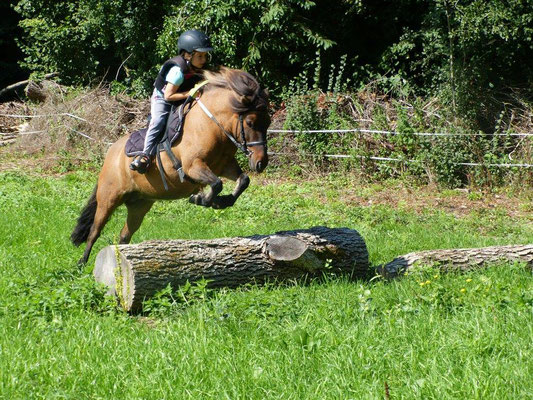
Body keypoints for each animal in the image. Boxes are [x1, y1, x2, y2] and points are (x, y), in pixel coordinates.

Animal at [71, 67, 270, 264]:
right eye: (250, 123)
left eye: (268, 123)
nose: (261, 162)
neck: (211, 126)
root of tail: (111, 153)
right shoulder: (193, 166)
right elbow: (216, 184)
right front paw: (201, 199)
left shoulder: (224, 166)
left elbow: (243, 180)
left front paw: (222, 201)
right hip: (109, 197)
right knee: (94, 230)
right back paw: (82, 263)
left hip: (139, 204)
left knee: (125, 235)